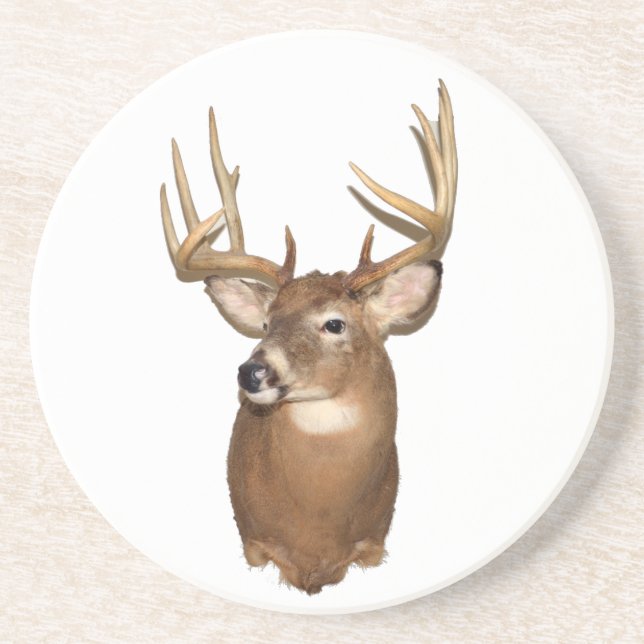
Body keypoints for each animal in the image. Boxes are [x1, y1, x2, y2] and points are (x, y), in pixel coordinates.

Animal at [160, 80, 457, 595]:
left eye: (334, 323)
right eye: (266, 322)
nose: (252, 370)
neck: (318, 530)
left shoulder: (375, 543)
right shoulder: (254, 543)